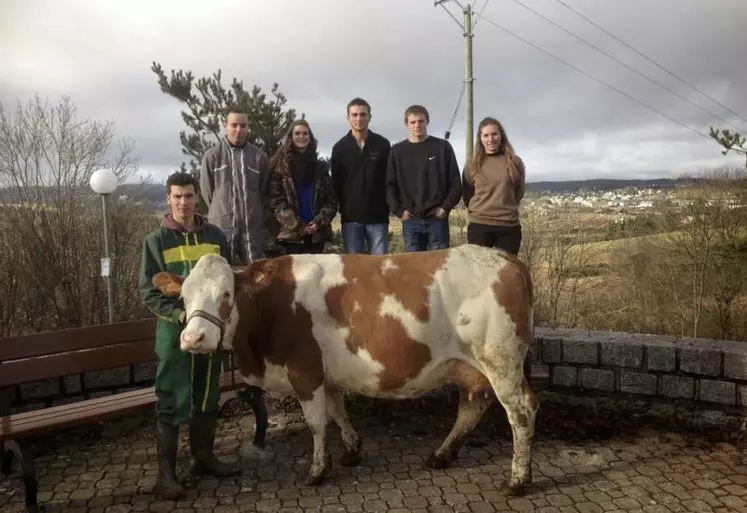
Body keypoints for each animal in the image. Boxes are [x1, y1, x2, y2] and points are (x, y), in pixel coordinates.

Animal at [152, 244, 536, 496]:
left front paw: (317, 470)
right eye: (184, 296)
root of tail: (506, 258)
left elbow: (317, 423)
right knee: (472, 406)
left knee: (521, 413)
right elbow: (338, 412)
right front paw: (352, 451)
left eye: (227, 294)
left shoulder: (304, 371)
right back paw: (442, 454)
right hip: (473, 367)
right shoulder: (326, 373)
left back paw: (518, 479)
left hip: (501, 361)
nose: (194, 338)